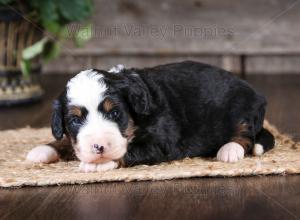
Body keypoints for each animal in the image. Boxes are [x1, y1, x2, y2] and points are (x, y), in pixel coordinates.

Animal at [27, 61, 276, 173]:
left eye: (115, 113)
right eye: (75, 120)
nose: (99, 147)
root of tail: (257, 94)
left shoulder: (162, 142)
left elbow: (127, 151)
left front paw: (99, 164)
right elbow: (66, 141)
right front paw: (44, 149)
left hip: (241, 109)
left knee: (246, 135)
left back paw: (230, 150)